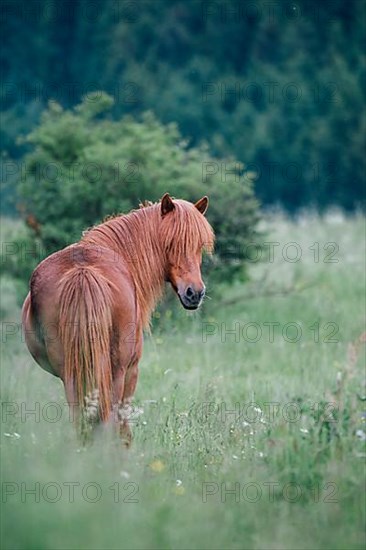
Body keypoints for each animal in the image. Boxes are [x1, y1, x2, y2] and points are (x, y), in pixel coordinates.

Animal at [21, 194, 214, 444]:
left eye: (199, 245)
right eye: (171, 243)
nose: (195, 293)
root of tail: (82, 272)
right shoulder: (132, 370)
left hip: (72, 374)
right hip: (116, 373)